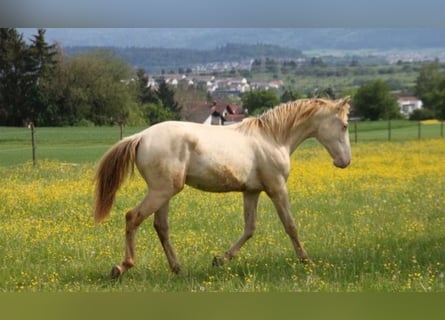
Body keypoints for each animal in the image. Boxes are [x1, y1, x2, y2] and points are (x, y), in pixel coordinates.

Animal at [93, 97, 350, 278]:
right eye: (345, 125)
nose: (344, 161)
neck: (274, 138)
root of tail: (141, 137)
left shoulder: (251, 192)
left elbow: (250, 228)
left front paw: (220, 260)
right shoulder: (276, 188)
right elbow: (290, 225)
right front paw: (307, 261)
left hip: (164, 193)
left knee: (161, 226)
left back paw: (178, 269)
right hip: (161, 192)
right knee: (133, 217)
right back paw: (121, 267)